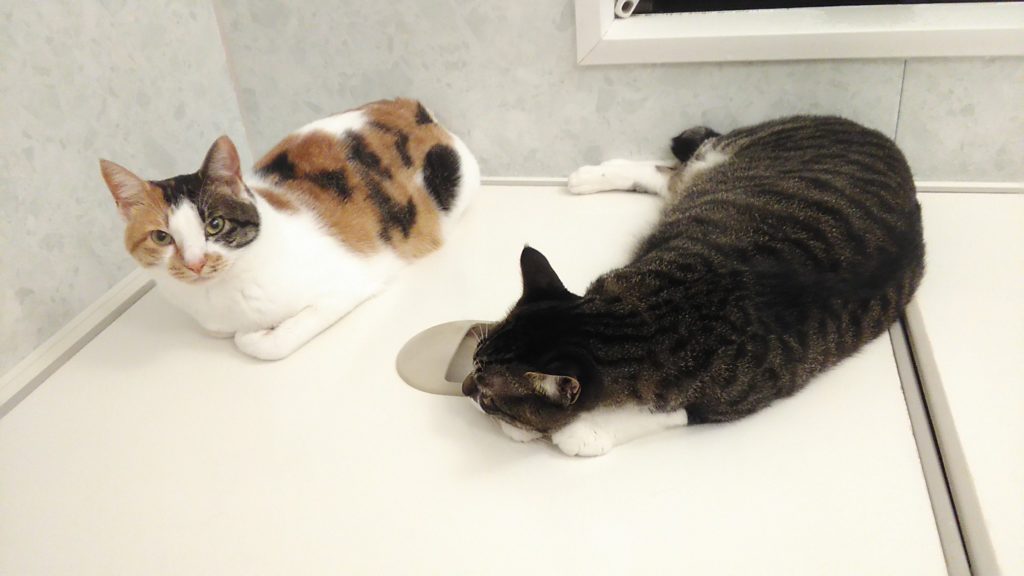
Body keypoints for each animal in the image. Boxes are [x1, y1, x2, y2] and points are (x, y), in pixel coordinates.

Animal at [100, 98, 479, 360]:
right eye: (161, 237)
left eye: (215, 224)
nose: (195, 263)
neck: (217, 298)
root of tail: (409, 105)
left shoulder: (346, 288)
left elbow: (267, 343)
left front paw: (254, 335)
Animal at [463, 116, 924, 456]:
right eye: (473, 367)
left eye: (489, 399)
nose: (466, 388)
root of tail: (875, 135)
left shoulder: (732, 400)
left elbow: (667, 412)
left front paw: (583, 431)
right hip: (714, 162)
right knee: (671, 172)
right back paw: (593, 175)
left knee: (672, 174)